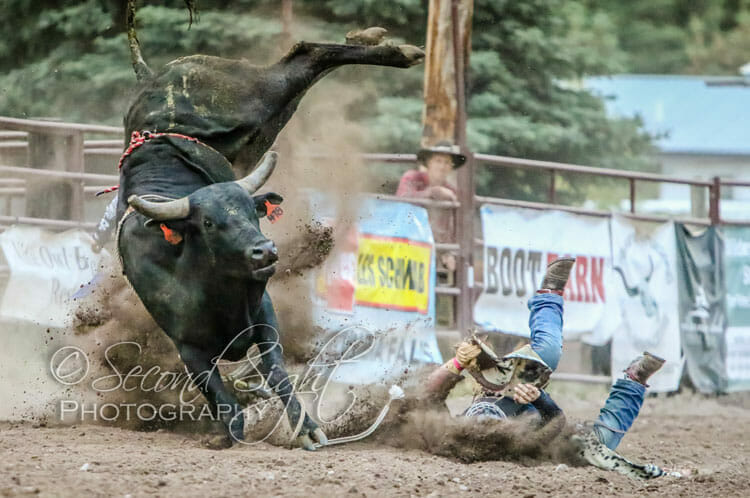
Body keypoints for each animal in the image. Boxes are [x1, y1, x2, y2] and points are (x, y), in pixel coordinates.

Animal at [115, 1, 424, 448]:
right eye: (209, 223)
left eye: (251, 212)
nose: (265, 251)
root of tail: (154, 77)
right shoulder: (187, 344)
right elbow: (220, 393)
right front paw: (230, 425)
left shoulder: (263, 314)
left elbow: (276, 370)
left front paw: (307, 428)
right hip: (264, 121)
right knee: (305, 61)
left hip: (255, 98)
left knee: (305, 53)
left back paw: (395, 49)